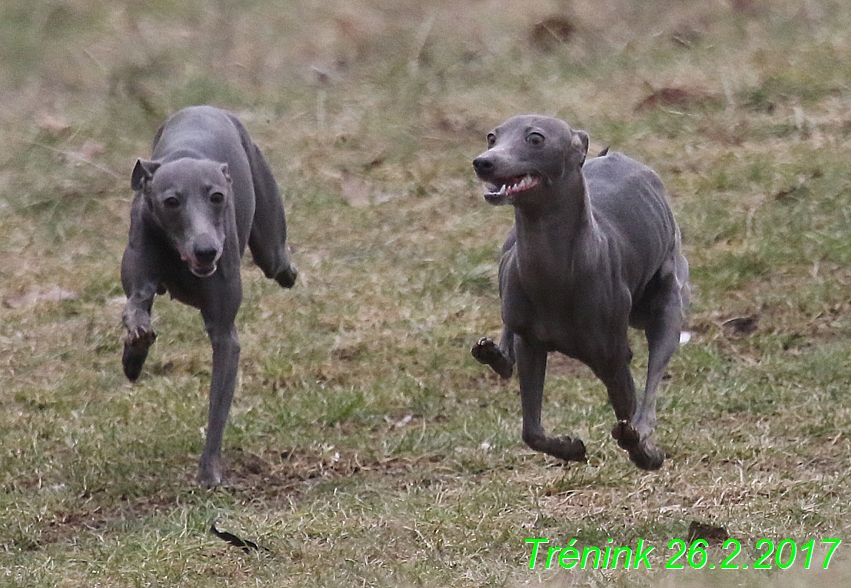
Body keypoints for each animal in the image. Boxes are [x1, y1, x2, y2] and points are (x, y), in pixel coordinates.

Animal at [470, 115, 688, 470]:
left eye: (535, 138)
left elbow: (628, 417)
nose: (483, 162)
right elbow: (531, 432)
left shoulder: (612, 360)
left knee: (653, 379)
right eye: (492, 137)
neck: (555, 274)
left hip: (669, 303)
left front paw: (645, 452)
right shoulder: (530, 343)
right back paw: (495, 355)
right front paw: (570, 448)